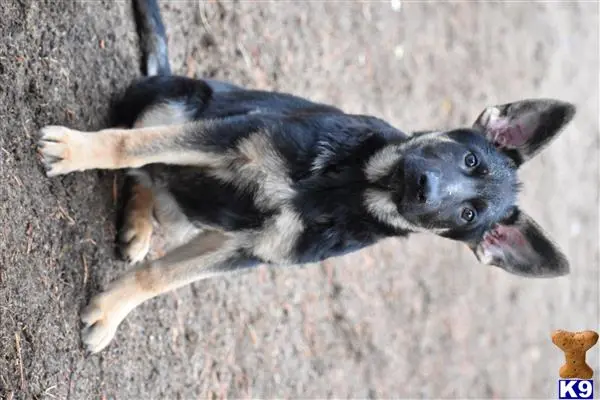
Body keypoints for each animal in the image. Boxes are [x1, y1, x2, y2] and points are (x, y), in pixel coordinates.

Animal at [37, 0, 576, 354]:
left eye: (469, 213)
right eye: (469, 162)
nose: (424, 187)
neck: (344, 189)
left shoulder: (244, 250)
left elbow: (158, 279)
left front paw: (110, 313)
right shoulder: (230, 137)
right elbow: (124, 145)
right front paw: (75, 149)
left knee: (156, 180)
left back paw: (139, 224)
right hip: (182, 101)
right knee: (145, 150)